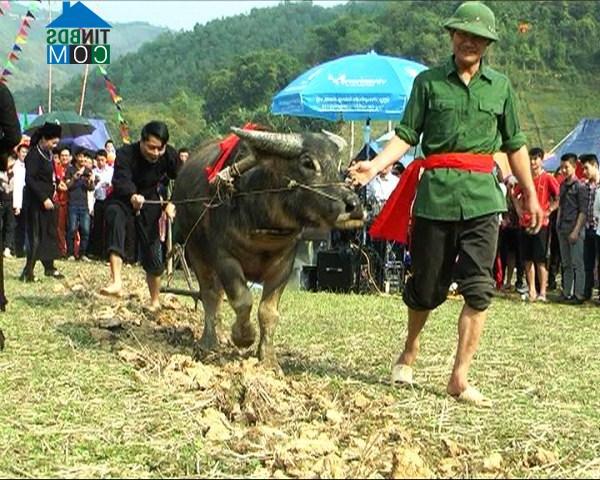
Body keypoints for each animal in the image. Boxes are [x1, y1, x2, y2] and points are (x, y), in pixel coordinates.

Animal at [171, 127, 364, 368]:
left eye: (340, 167)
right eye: (308, 163)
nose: (354, 207)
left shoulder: (284, 264)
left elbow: (268, 312)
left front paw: (268, 358)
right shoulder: (224, 258)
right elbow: (242, 300)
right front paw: (243, 337)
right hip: (195, 252)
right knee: (209, 294)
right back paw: (209, 342)